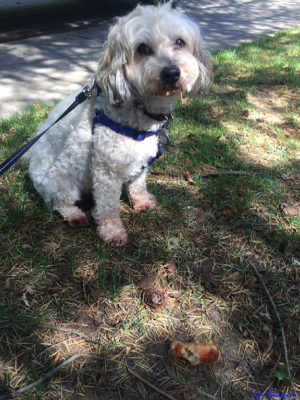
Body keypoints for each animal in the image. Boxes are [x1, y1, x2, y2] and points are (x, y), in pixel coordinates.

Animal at [25, 0, 211, 247]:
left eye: (180, 42)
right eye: (142, 48)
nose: (172, 72)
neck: (139, 110)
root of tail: (30, 161)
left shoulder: (140, 161)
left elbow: (138, 185)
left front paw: (142, 202)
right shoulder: (106, 171)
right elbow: (108, 207)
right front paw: (112, 232)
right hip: (59, 182)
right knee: (59, 202)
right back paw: (74, 216)